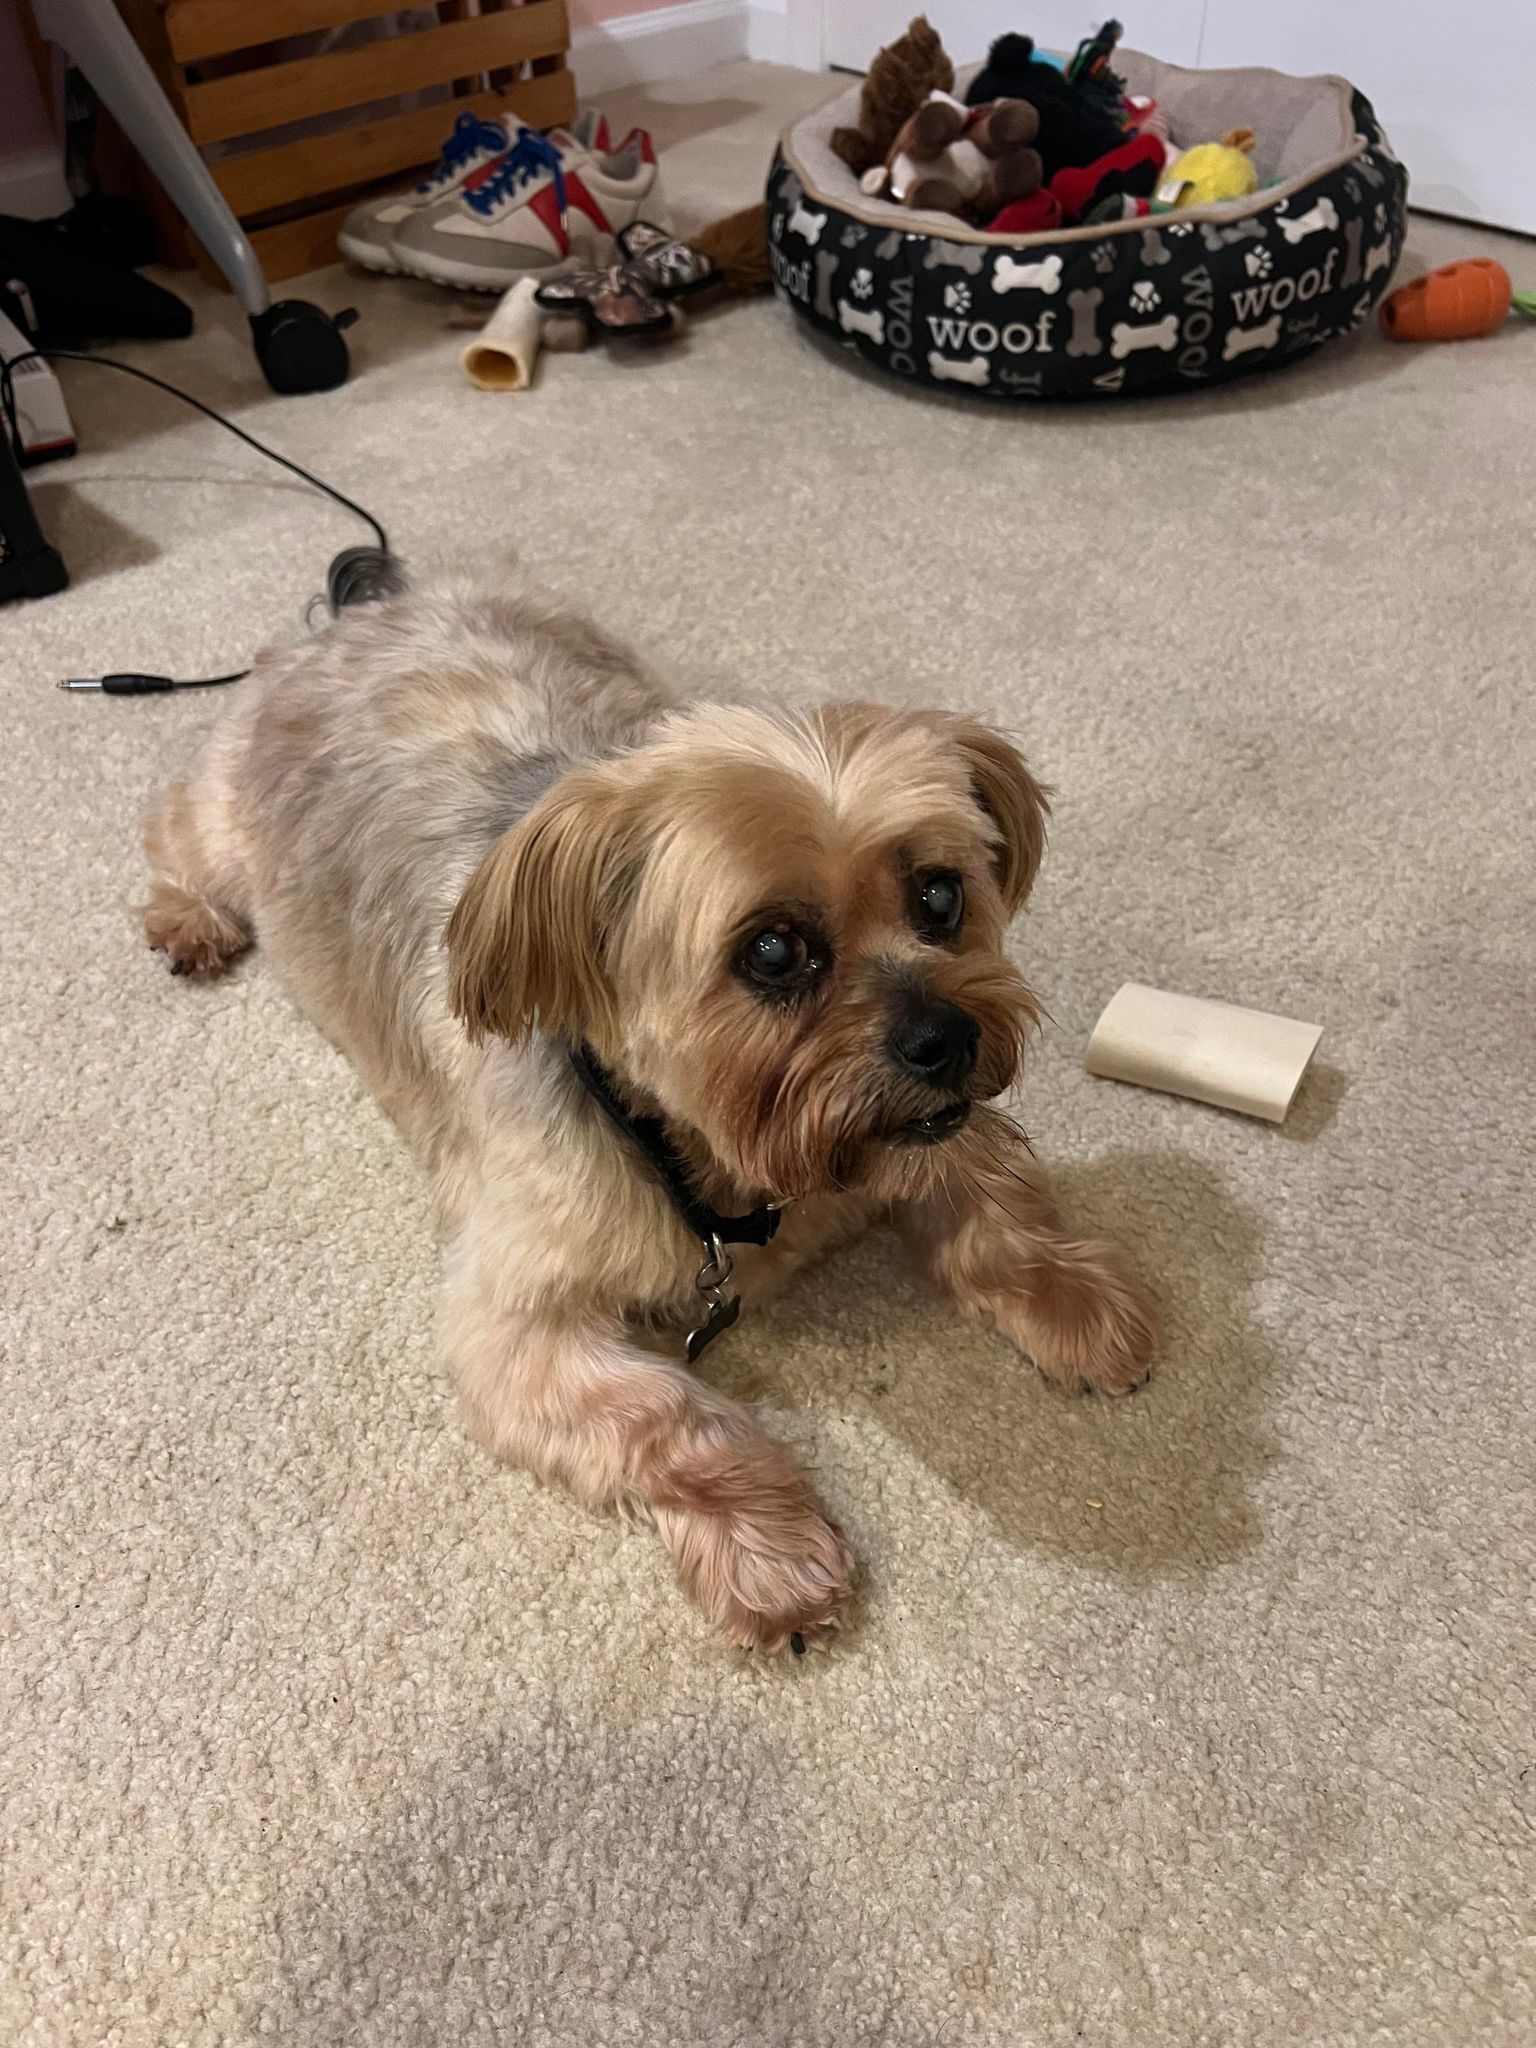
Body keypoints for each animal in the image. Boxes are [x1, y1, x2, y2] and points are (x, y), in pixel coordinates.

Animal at [144, 577, 1155, 1646]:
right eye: (773, 951)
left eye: (939, 896)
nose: (947, 1040)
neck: (726, 1168)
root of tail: (368, 608)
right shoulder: (516, 1326)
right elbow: (670, 1418)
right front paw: (772, 1550)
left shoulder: (920, 1131)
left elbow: (997, 1197)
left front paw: (1075, 1296)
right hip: (227, 817)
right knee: (176, 827)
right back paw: (188, 918)